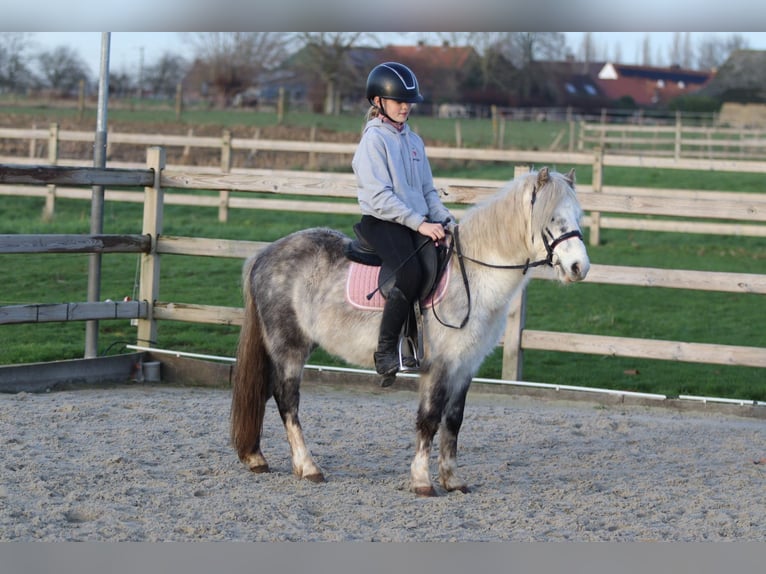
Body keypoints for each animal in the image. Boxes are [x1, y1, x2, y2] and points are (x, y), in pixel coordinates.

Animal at [230, 167, 590, 496]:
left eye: (578, 216)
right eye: (554, 218)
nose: (579, 268)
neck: (473, 276)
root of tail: (263, 255)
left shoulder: (465, 365)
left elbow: (453, 421)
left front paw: (452, 480)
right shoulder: (440, 365)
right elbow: (429, 419)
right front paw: (422, 481)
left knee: (265, 393)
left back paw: (259, 459)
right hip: (289, 347)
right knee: (287, 400)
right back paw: (308, 467)